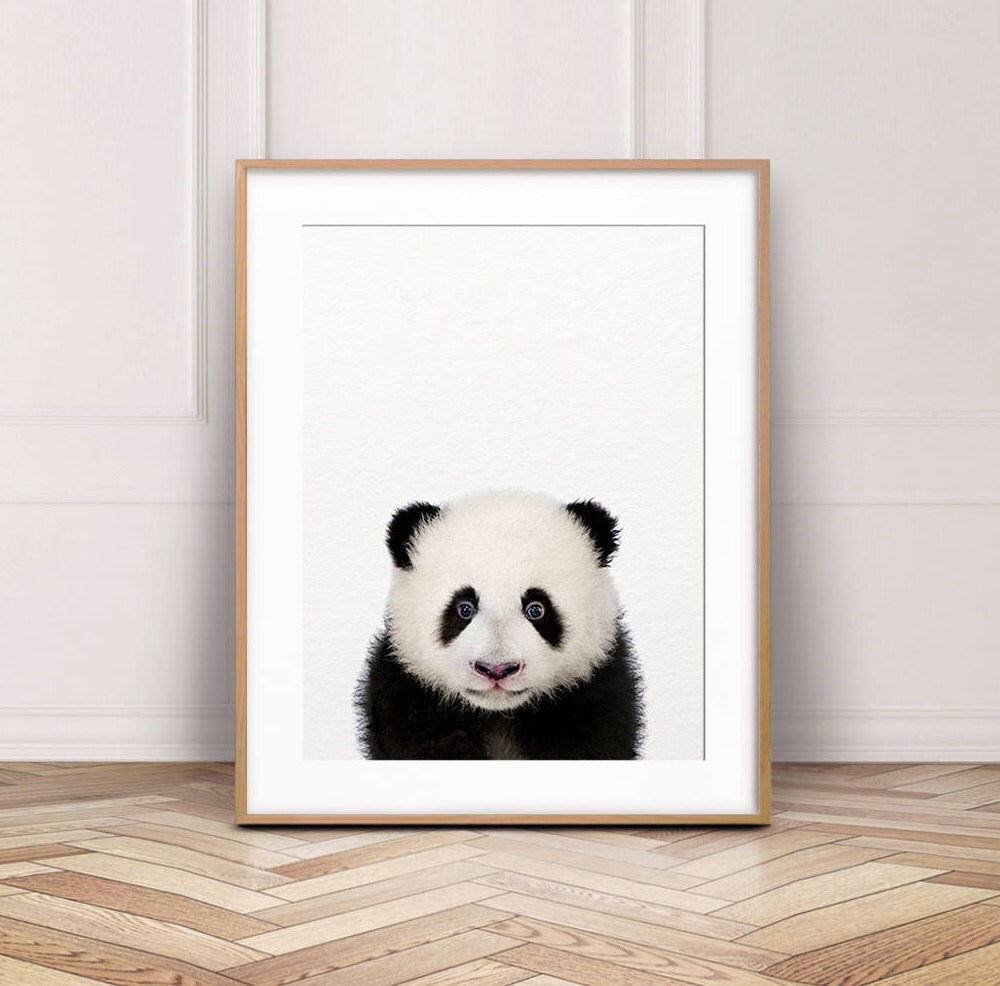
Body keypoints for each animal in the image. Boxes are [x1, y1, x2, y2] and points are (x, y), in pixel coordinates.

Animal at [355, 490, 644, 759]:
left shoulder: (596, 695)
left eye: (536, 609)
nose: (496, 669)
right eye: (464, 608)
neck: (497, 714)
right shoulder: (406, 693)